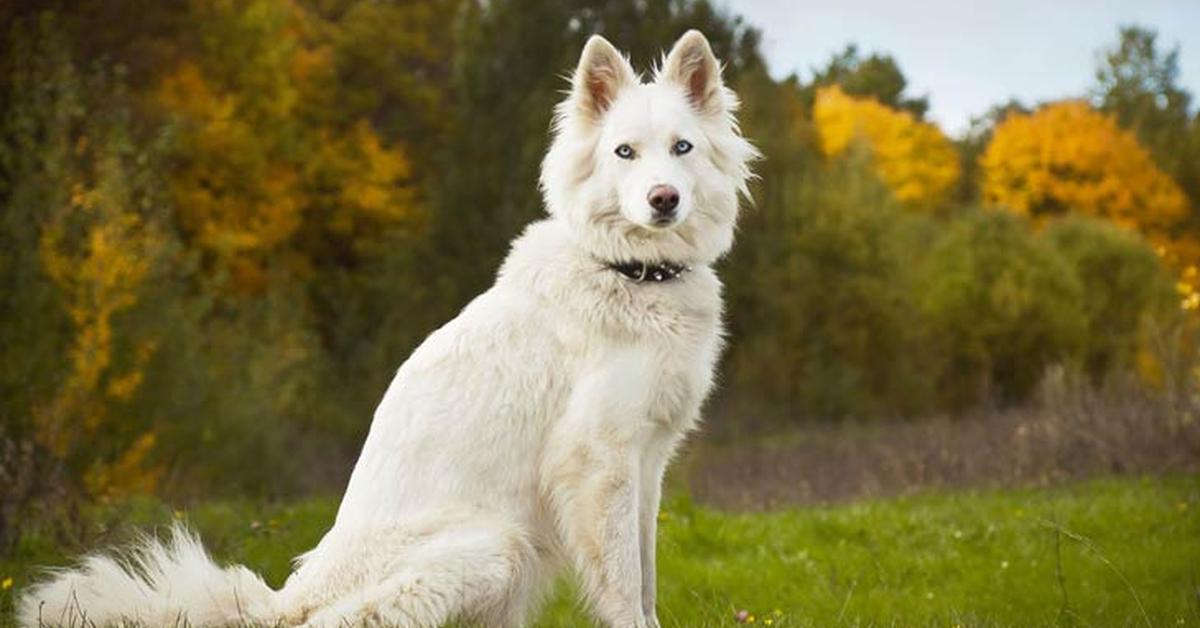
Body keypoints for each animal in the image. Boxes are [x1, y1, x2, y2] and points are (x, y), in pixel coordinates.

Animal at [21, 30, 748, 628]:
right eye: (625, 152)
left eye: (681, 148)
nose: (663, 200)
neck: (629, 271)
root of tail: (288, 599)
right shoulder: (599, 463)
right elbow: (625, 589)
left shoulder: (646, 464)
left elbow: (646, 576)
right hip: (497, 544)